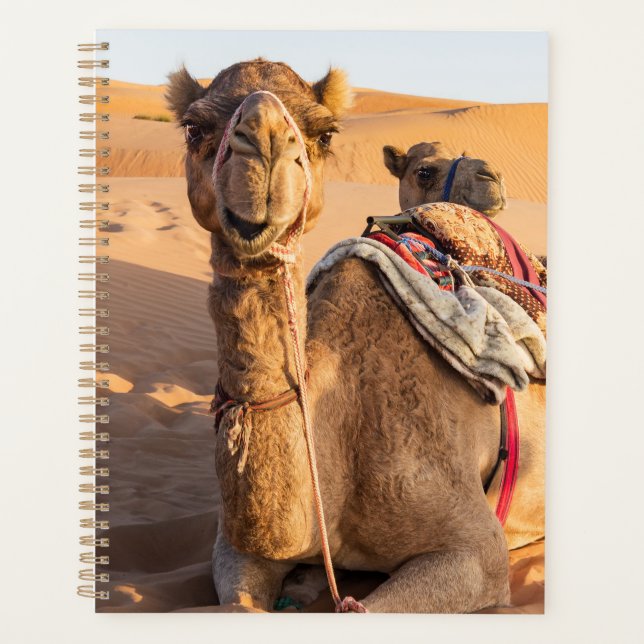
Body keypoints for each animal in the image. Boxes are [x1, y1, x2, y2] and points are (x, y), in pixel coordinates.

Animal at [166, 59, 545, 613]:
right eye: (194, 127)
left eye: (325, 133)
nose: (264, 142)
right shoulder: (234, 546)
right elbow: (239, 602)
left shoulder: (477, 551)